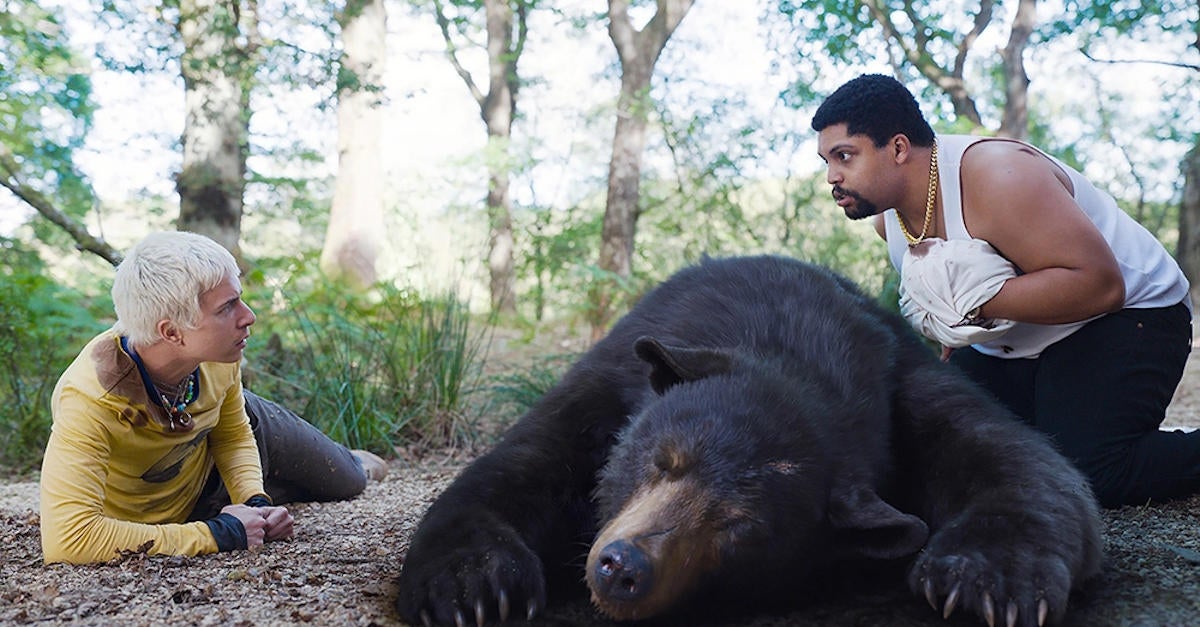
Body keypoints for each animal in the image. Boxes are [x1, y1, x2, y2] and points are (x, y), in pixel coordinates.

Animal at [395, 255, 1102, 627]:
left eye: (739, 527)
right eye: (661, 462)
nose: (623, 567)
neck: (793, 341)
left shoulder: (906, 379)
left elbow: (1020, 461)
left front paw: (987, 578)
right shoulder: (613, 378)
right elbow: (523, 463)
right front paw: (473, 585)